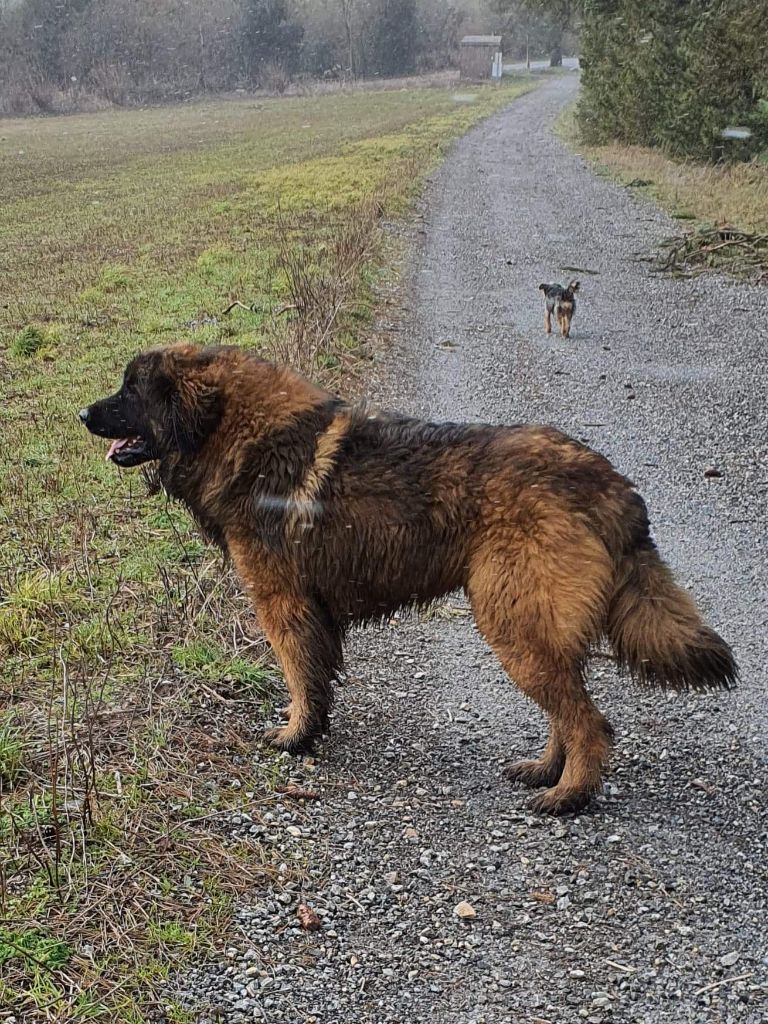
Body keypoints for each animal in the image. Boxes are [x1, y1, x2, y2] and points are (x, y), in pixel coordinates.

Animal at [79, 344, 741, 815]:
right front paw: (312, 729)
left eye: (131, 389)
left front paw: (294, 735)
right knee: (567, 710)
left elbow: (298, 673)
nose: (82, 412)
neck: (236, 434)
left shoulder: (282, 600)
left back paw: (569, 796)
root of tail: (608, 483)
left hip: (513, 621)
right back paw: (546, 770)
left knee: (589, 722)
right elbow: (317, 677)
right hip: (533, 628)